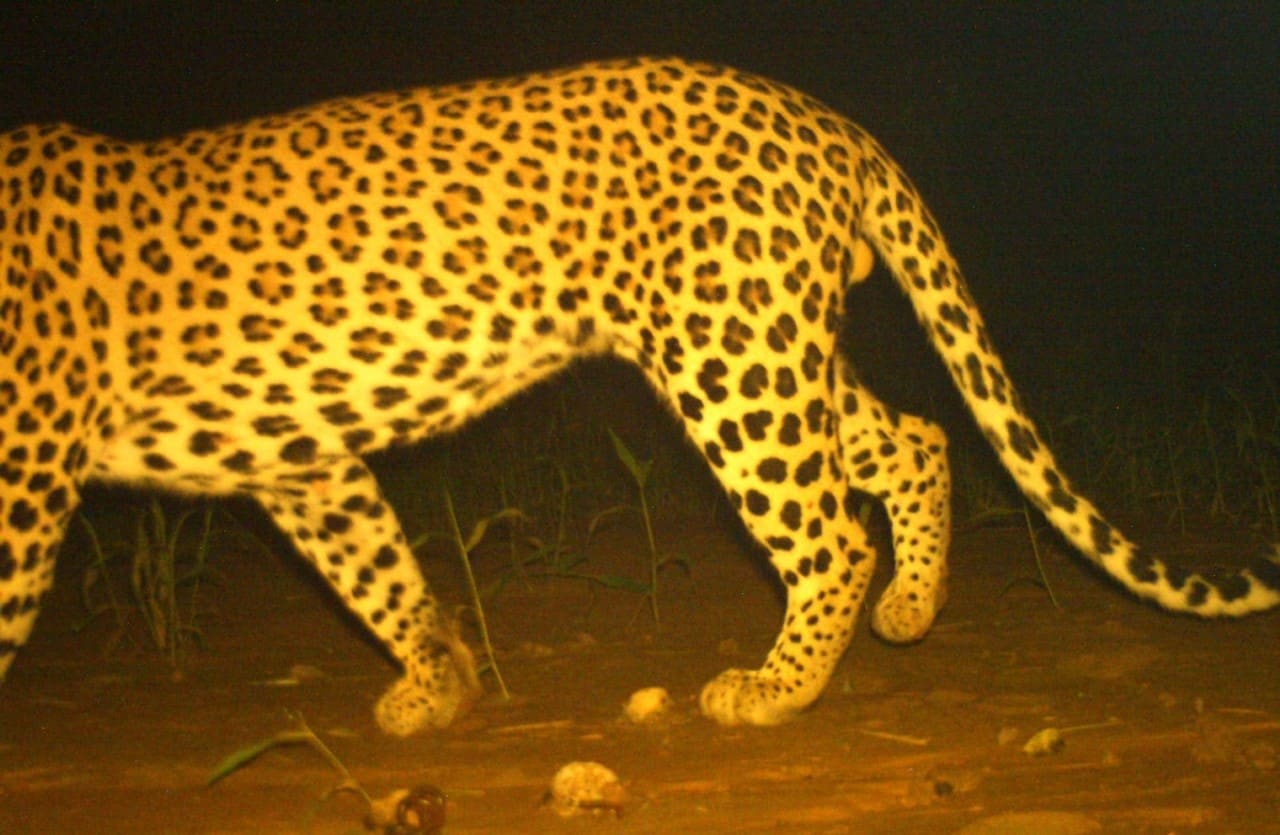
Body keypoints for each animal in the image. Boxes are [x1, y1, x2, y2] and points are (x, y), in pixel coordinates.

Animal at [2, 56, 1277, 735]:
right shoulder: (297, 456)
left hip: (732, 355)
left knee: (827, 532)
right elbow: (377, 567)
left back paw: (773, 688)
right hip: (771, 346)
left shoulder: (21, 470)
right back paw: (911, 611)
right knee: (912, 437)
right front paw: (436, 684)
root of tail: (829, 120)